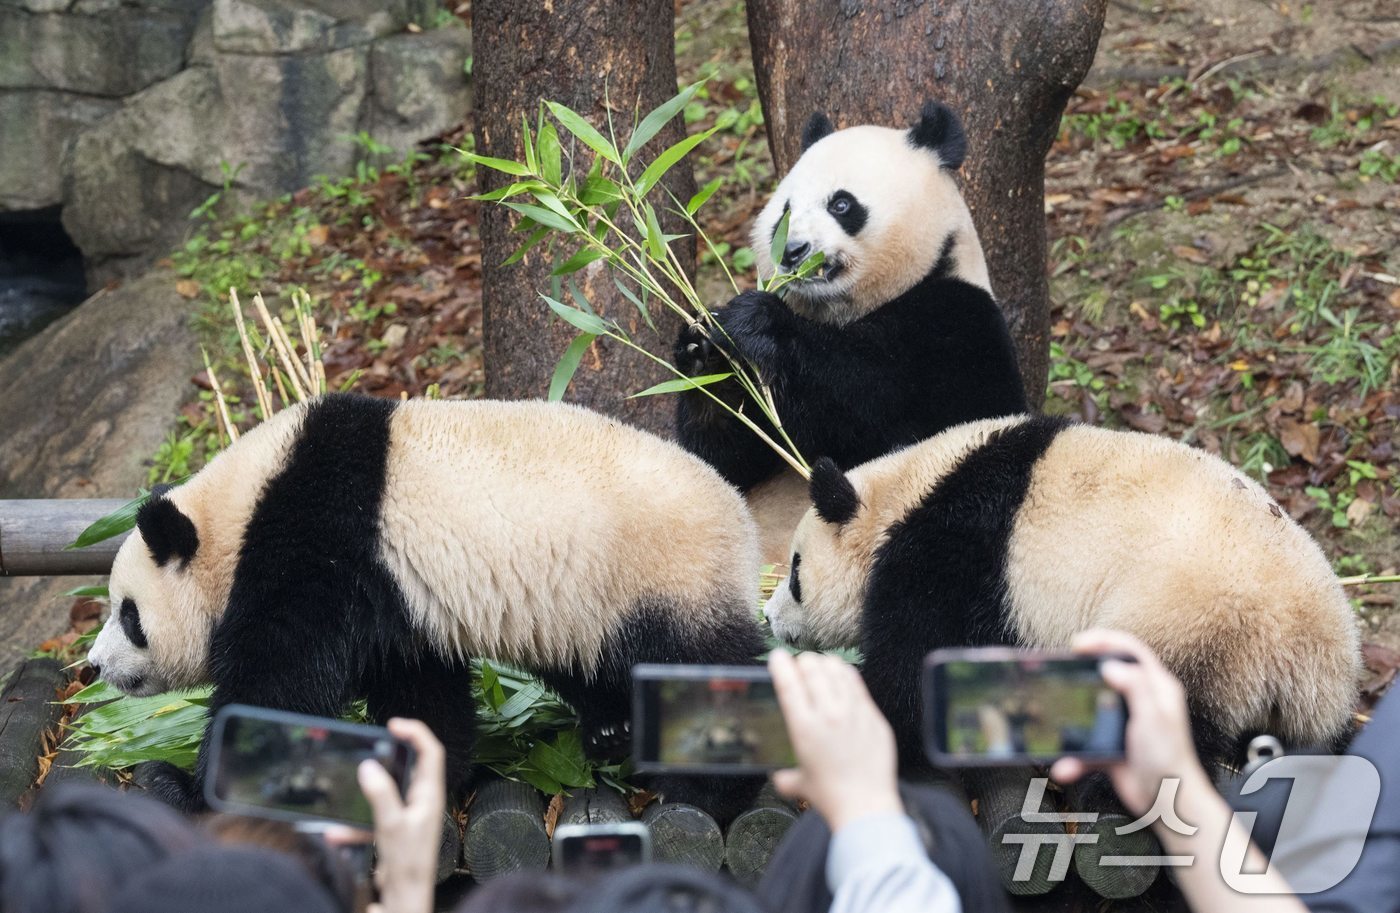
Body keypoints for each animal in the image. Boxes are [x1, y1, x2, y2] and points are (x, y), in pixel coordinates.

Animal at [87, 394, 767, 812]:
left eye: (129, 614)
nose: (95, 666)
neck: (238, 513)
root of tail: (743, 523)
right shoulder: (398, 602)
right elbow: (420, 693)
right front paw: (419, 771)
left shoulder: (316, 547)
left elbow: (275, 687)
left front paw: (176, 784)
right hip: (588, 609)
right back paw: (610, 730)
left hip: (659, 575)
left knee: (698, 674)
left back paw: (708, 788)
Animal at [677, 103, 1030, 565]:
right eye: (784, 212)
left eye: (841, 204)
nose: (793, 252)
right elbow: (718, 465)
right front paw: (705, 352)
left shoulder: (961, 325)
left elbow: (885, 416)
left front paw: (756, 320)